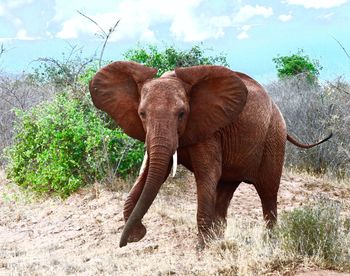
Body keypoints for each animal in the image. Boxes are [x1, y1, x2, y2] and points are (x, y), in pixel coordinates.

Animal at [89, 61, 332, 247]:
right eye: (142, 114)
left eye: (182, 114)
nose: (127, 241)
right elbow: (150, 174)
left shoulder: (209, 130)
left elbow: (206, 175)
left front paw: (201, 249)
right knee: (225, 191)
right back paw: (220, 238)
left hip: (273, 137)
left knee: (268, 192)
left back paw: (270, 242)